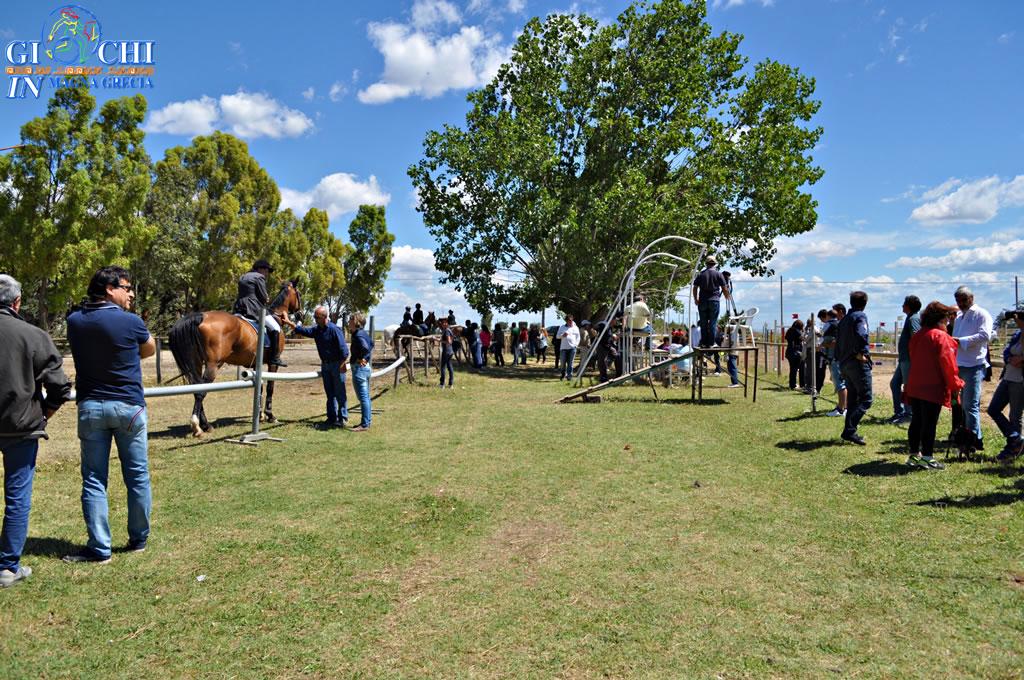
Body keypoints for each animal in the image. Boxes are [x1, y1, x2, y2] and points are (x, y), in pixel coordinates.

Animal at [167, 280, 301, 436]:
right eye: (298, 294)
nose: (300, 314)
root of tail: (201, 317)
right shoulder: (273, 364)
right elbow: (270, 388)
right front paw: (270, 416)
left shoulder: (256, 365)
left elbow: (260, 387)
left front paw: (260, 415)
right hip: (213, 365)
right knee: (201, 391)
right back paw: (197, 426)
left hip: (197, 363)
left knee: (196, 388)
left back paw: (206, 425)